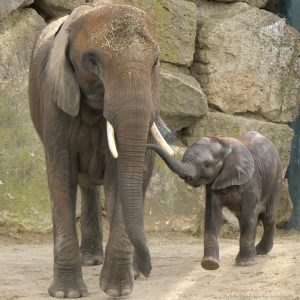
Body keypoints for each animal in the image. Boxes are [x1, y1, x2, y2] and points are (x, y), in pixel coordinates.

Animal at [29, 3, 173, 298]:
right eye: (92, 60)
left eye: (155, 63)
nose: (148, 269)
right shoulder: (54, 103)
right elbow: (61, 176)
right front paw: (67, 293)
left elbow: (122, 177)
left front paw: (118, 289)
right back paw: (91, 260)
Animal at [149, 131, 282, 270]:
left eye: (207, 164)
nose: (148, 146)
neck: (225, 145)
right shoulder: (212, 184)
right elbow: (213, 215)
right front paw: (210, 264)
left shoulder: (251, 181)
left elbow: (249, 214)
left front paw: (245, 264)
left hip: (276, 179)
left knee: (267, 216)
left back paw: (260, 251)